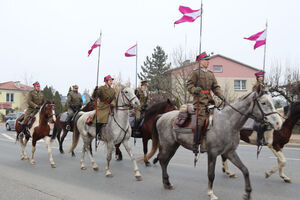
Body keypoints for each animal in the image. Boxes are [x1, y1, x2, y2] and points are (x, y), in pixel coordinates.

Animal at [149, 86, 282, 200]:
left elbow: (245, 170)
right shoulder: (212, 153)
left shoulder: (230, 152)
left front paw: (247, 193)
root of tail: (162, 116)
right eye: (264, 103)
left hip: (173, 146)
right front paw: (210, 193)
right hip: (168, 146)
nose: (278, 123)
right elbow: (211, 174)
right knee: (163, 160)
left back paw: (167, 183)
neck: (228, 122)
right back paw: (166, 182)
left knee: (164, 161)